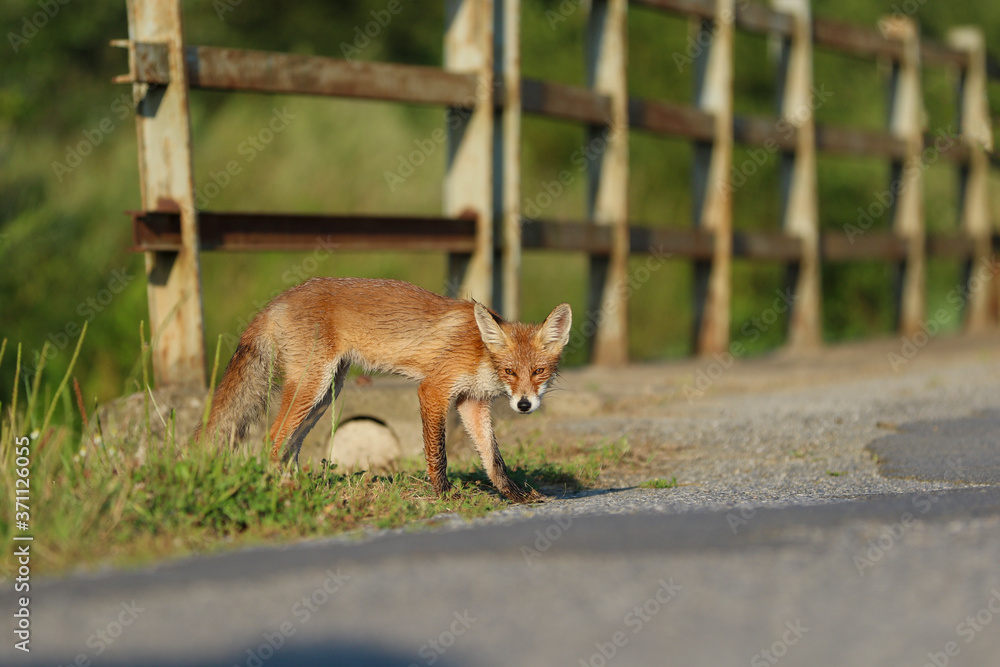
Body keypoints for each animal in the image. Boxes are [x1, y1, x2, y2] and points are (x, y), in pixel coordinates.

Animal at [197, 277, 572, 503]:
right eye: (510, 371)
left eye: (538, 372)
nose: (523, 405)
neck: (481, 350)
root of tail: (278, 300)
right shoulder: (433, 389)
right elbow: (438, 454)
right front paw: (445, 494)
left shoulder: (472, 402)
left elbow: (494, 460)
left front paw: (516, 496)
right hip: (311, 386)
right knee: (272, 439)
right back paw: (284, 489)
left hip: (325, 394)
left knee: (290, 443)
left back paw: (295, 488)